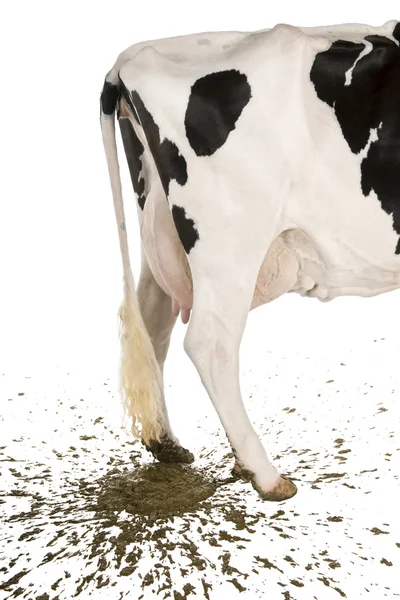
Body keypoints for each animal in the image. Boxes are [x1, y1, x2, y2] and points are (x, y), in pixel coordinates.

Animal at [101, 21, 400, 502]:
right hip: (229, 244)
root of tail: (131, 57)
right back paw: (265, 474)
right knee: (209, 343)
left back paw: (166, 443)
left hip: (159, 227)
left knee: (152, 324)